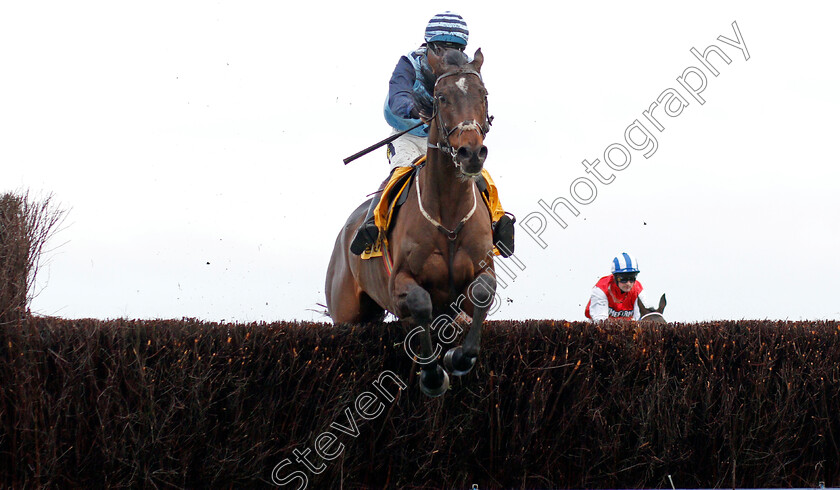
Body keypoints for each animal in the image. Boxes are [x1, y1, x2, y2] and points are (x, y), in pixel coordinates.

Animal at [326, 47, 498, 396]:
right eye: (442, 97)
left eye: (483, 94)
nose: (471, 153)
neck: (448, 215)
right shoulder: (400, 284)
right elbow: (420, 304)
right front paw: (432, 375)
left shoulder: (481, 270)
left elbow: (483, 293)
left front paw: (460, 356)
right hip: (346, 313)